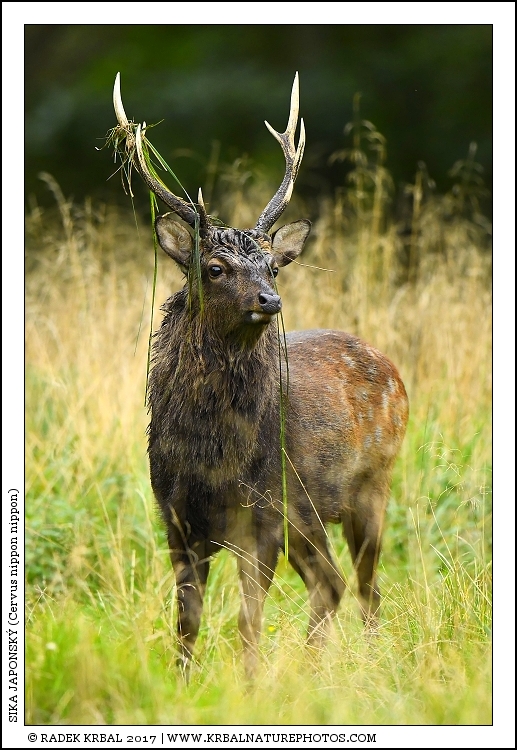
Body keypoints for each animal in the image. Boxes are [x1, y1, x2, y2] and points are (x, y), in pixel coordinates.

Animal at [112, 72, 409, 678]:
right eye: (214, 268)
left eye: (272, 266)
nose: (269, 300)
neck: (213, 457)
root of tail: (395, 372)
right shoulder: (176, 516)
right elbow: (187, 621)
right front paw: (184, 683)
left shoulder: (262, 514)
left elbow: (247, 621)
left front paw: (250, 684)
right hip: (307, 510)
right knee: (331, 583)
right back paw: (315, 667)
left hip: (369, 485)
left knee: (365, 589)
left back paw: (364, 664)